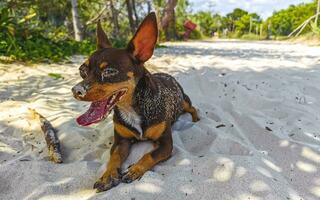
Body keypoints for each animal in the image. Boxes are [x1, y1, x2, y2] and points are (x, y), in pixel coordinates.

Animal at [71, 12, 199, 192]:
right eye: (82, 70)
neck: (132, 108)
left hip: (185, 101)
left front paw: (136, 169)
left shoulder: (166, 144)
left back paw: (196, 119)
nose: (76, 90)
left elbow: (149, 155)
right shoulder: (121, 142)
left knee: (193, 108)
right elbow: (114, 157)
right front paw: (107, 175)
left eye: (109, 71)